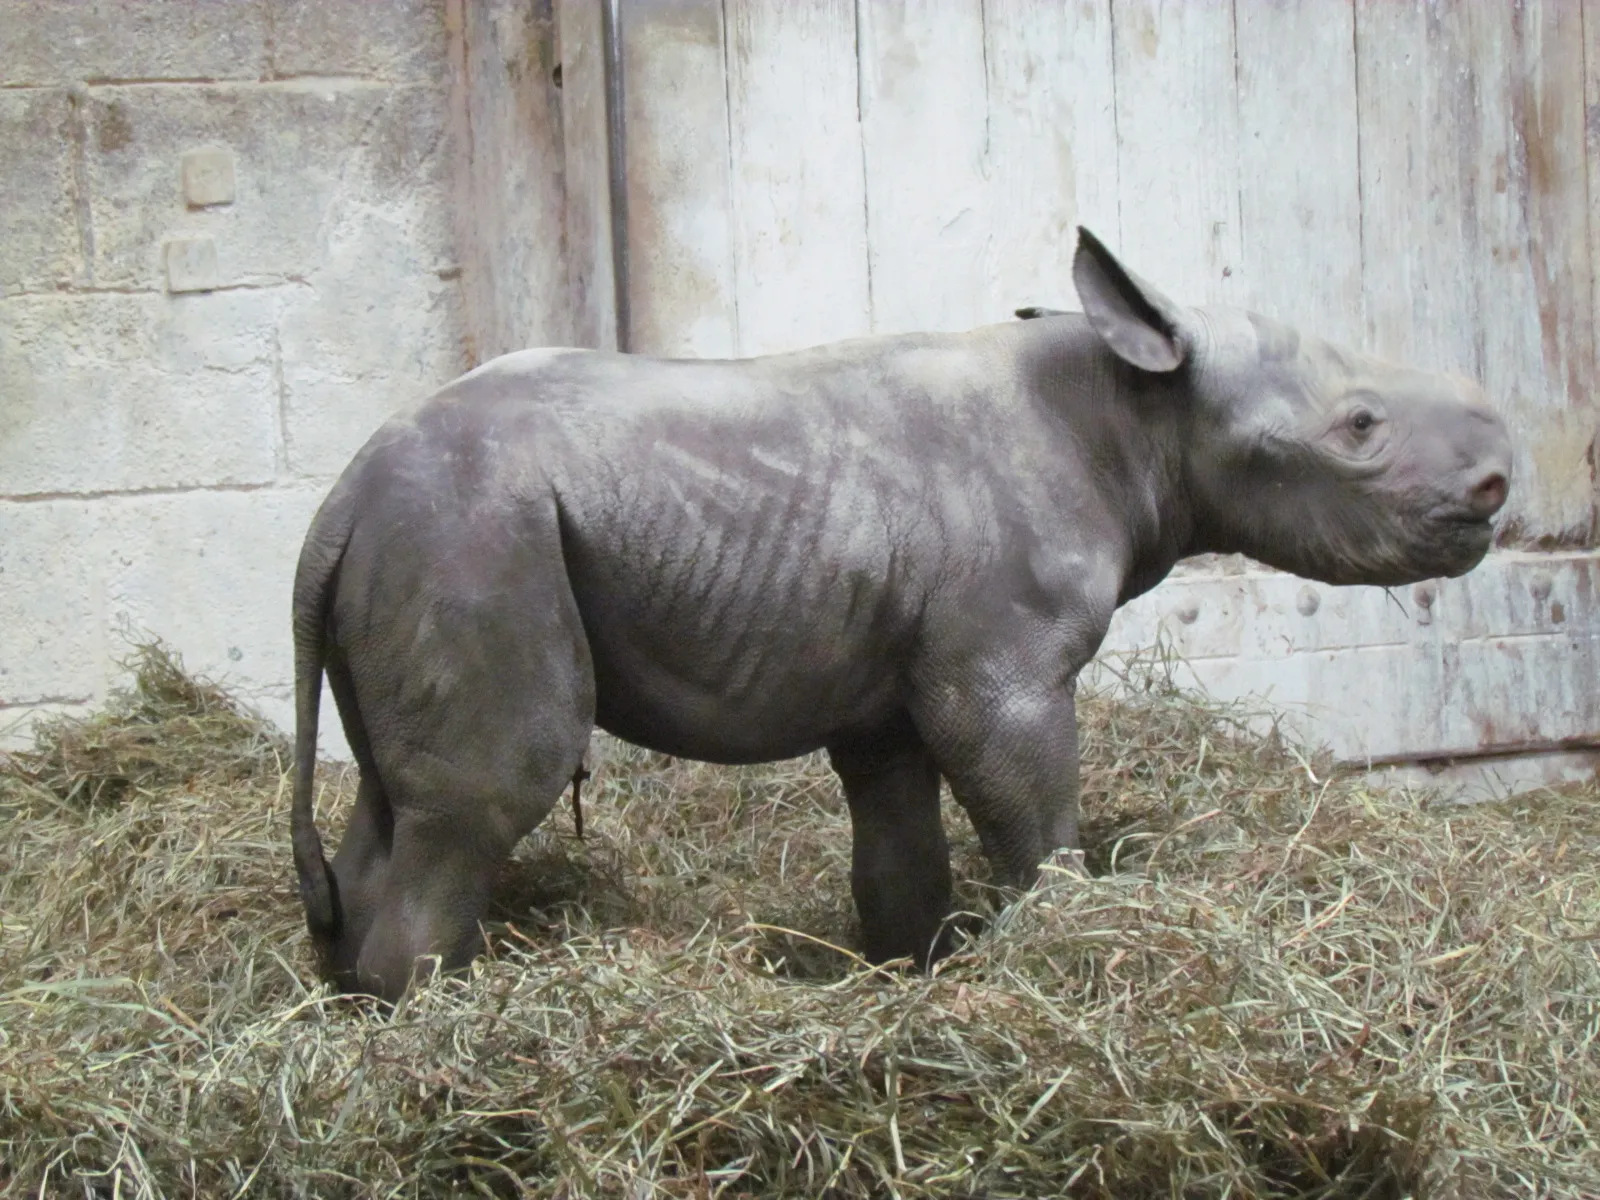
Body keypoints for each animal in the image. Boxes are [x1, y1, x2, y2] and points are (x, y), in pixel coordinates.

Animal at [289, 228, 1511, 1001]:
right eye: (1360, 427)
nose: (1500, 483)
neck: (1137, 411)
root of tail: (338, 499)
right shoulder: (1001, 666)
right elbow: (1032, 817)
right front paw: (1068, 939)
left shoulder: (886, 686)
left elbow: (898, 853)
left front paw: (917, 972)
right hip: (473, 535)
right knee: (492, 790)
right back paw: (443, 1033)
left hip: (417, 540)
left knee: (396, 803)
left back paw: (351, 1016)